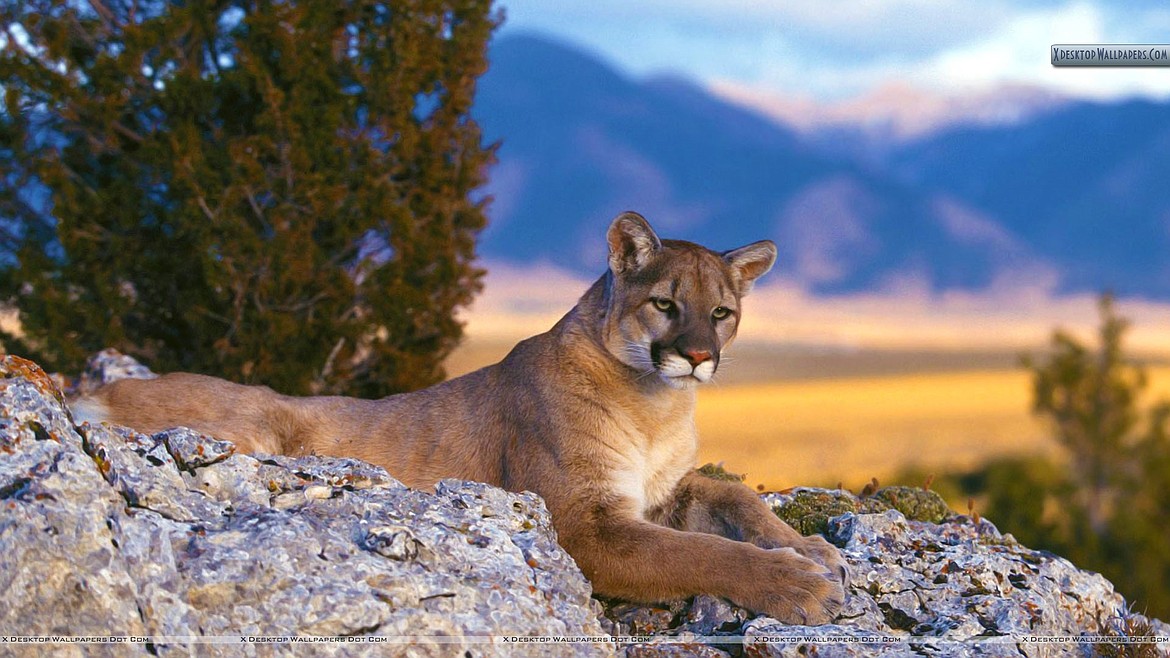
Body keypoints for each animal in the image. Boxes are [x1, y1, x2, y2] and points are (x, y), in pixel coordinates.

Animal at [75, 213, 842, 622]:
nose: (698, 355)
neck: (658, 404)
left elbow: (733, 494)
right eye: (665, 303)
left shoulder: (659, 492)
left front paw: (810, 549)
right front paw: (799, 586)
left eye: (722, 313)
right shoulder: (584, 523)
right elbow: (701, 553)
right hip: (260, 424)